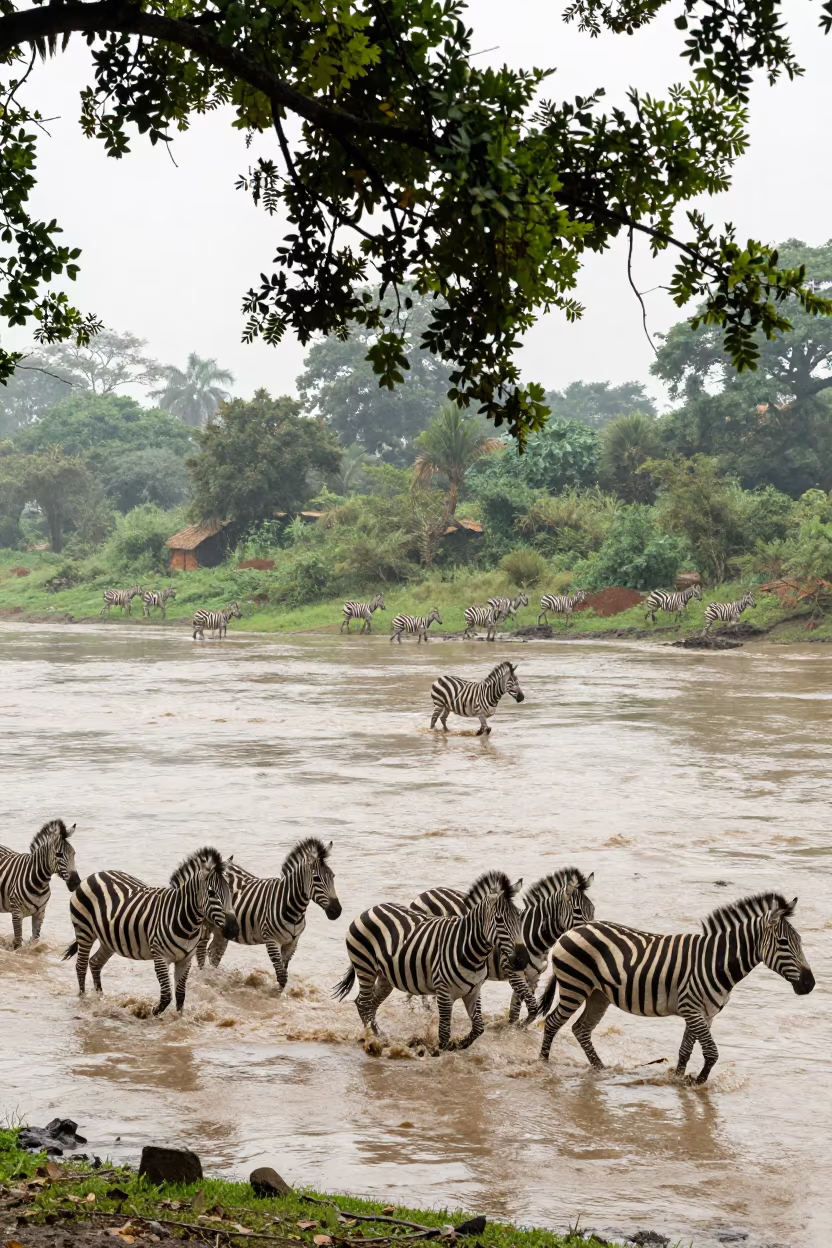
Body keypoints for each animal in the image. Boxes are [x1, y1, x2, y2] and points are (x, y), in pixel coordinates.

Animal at [63, 846, 238, 1015]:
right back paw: (84, 999)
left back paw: (99, 998)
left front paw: (179, 1018)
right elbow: (166, 997)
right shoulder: (160, 957)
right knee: (81, 966)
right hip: (84, 930)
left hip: (109, 939)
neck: (188, 924)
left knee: (94, 963)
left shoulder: (185, 960)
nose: (233, 930)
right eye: (212, 893)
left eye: (230, 892)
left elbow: (181, 995)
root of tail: (96, 874)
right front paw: (149, 1013)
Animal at [195, 838, 341, 987]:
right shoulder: (271, 940)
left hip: (222, 930)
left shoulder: (292, 944)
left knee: (214, 952)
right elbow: (282, 976)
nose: (337, 911)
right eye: (317, 878)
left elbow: (284, 972)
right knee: (201, 951)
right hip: (204, 925)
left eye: (333, 876)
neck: (293, 909)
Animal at [333, 870, 529, 1050]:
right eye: (499, 920)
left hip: (385, 977)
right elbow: (444, 1032)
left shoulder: (473, 991)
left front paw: (460, 1044)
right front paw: (440, 1054)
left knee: (369, 1005)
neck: (472, 953)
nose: (522, 960)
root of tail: (372, 909)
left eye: (520, 916)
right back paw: (373, 1041)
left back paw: (380, 1037)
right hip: (364, 967)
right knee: (364, 1004)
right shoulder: (444, 992)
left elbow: (479, 1028)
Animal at [410, 868, 594, 1023]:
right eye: (577, 911)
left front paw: (512, 1029)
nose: (591, 935)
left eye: (592, 909)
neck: (535, 936)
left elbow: (517, 1010)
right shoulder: (513, 972)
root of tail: (426, 893)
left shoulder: (532, 977)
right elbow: (531, 1008)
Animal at [538, 892, 814, 1083]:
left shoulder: (703, 1014)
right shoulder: (692, 1008)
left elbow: (685, 1050)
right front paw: (698, 1082)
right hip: (574, 986)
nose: (809, 984)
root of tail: (575, 929)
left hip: (598, 994)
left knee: (581, 1029)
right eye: (783, 943)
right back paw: (542, 1064)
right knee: (552, 1022)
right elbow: (711, 1052)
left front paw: (678, 1078)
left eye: (800, 941)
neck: (715, 962)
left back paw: (601, 1069)